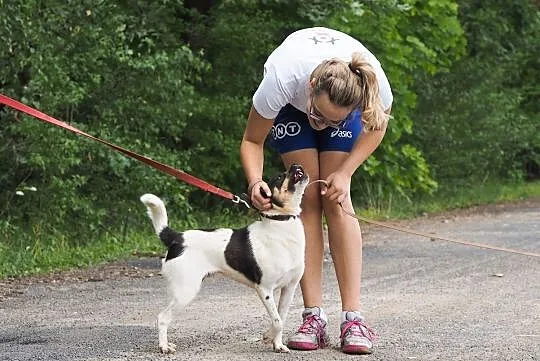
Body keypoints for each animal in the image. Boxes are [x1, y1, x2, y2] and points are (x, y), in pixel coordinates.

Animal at [139, 165, 308, 352]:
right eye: (279, 177)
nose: (296, 165)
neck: (280, 223)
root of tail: (177, 237)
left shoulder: (289, 288)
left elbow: (281, 318)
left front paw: (277, 344)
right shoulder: (264, 289)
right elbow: (277, 321)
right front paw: (268, 337)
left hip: (180, 291)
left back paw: (167, 343)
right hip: (186, 291)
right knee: (162, 317)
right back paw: (164, 347)